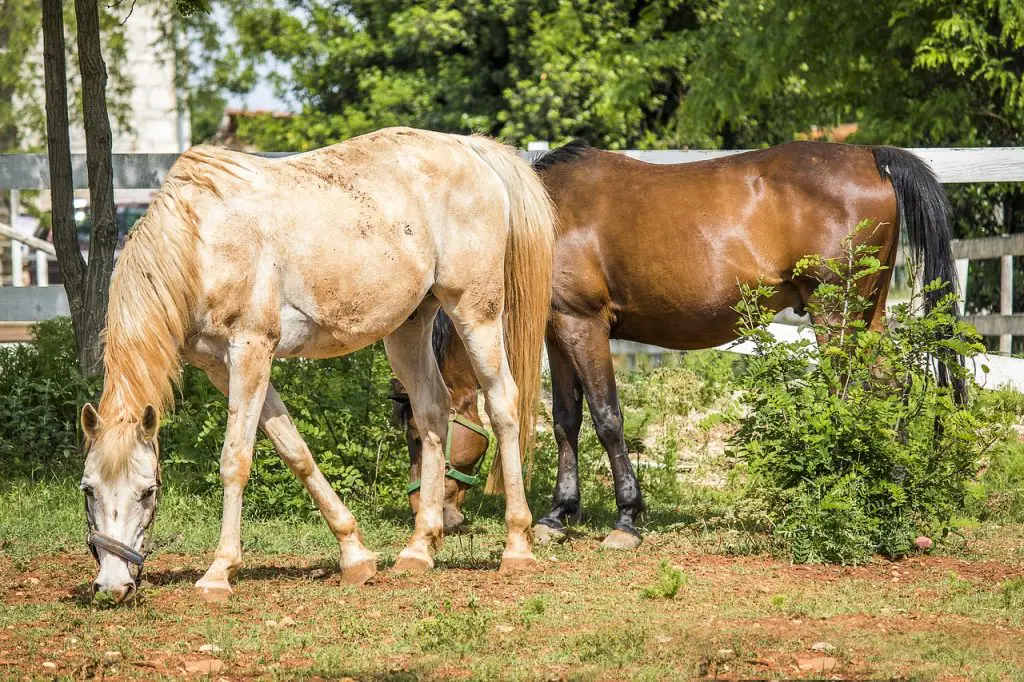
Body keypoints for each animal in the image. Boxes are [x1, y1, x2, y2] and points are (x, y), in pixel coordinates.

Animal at [80, 125, 557, 602]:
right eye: (87, 490)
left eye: (148, 491)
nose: (112, 586)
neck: (201, 242)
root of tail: (467, 146)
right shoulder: (222, 369)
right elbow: (295, 451)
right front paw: (355, 555)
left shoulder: (251, 352)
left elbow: (235, 460)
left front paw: (219, 572)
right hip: (409, 329)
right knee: (433, 413)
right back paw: (419, 549)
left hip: (476, 313)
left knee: (503, 405)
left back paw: (516, 547)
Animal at [393, 139, 958, 548]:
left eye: (418, 437)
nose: (429, 512)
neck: (543, 220)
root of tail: (871, 156)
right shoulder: (559, 329)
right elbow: (566, 421)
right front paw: (558, 515)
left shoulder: (584, 326)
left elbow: (607, 418)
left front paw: (626, 519)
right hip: (868, 312)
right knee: (889, 388)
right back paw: (888, 488)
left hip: (835, 312)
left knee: (853, 394)